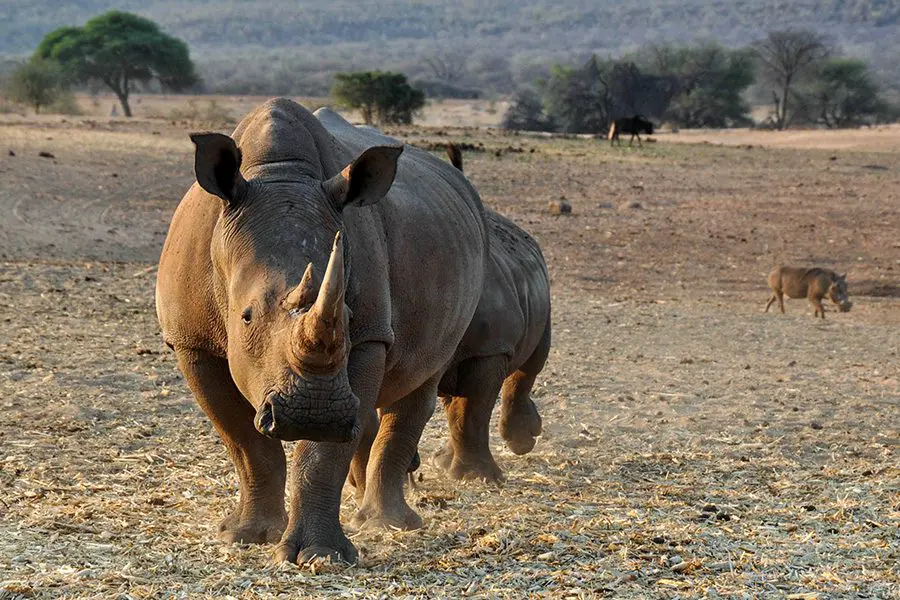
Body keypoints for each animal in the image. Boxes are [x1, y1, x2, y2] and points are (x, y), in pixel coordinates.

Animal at [158, 101, 488, 564]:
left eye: (346, 317)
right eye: (246, 317)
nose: (314, 414)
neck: (279, 173)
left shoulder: (369, 335)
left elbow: (323, 454)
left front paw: (321, 555)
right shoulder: (191, 340)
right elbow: (245, 441)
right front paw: (246, 535)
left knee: (420, 381)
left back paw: (389, 523)